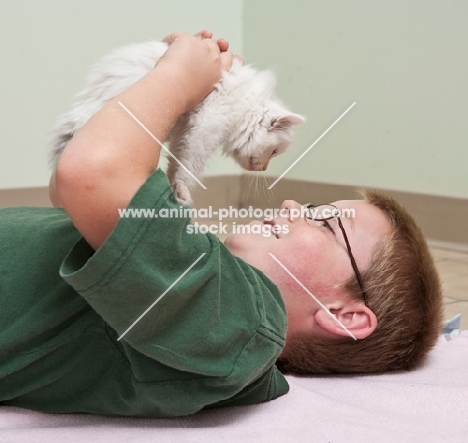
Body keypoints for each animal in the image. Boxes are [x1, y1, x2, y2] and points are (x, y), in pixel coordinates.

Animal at [50, 40, 304, 206]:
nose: (264, 169)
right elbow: (189, 167)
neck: (245, 105)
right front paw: (182, 194)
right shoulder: (205, 128)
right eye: (273, 153)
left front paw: (174, 190)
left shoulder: (185, 132)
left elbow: (175, 164)